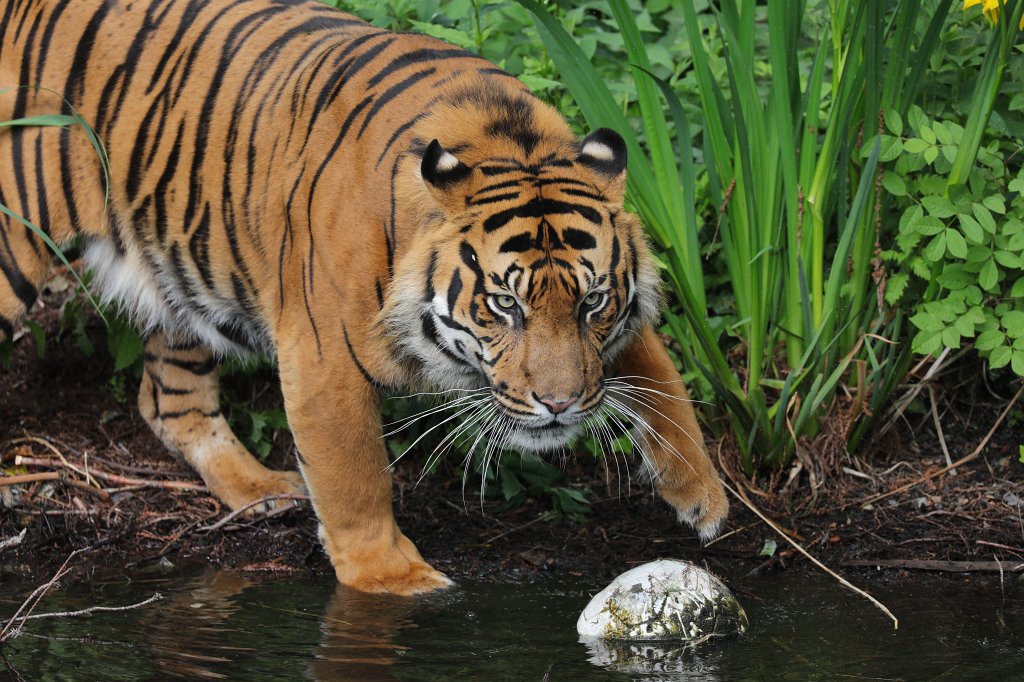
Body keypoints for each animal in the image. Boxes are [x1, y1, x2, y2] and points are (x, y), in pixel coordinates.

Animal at [0, 0, 728, 595]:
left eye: (592, 304)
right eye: (504, 306)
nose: (560, 405)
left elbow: (666, 384)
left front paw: (703, 496)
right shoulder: (323, 357)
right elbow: (355, 474)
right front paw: (389, 577)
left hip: (183, 275)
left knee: (167, 402)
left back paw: (260, 489)